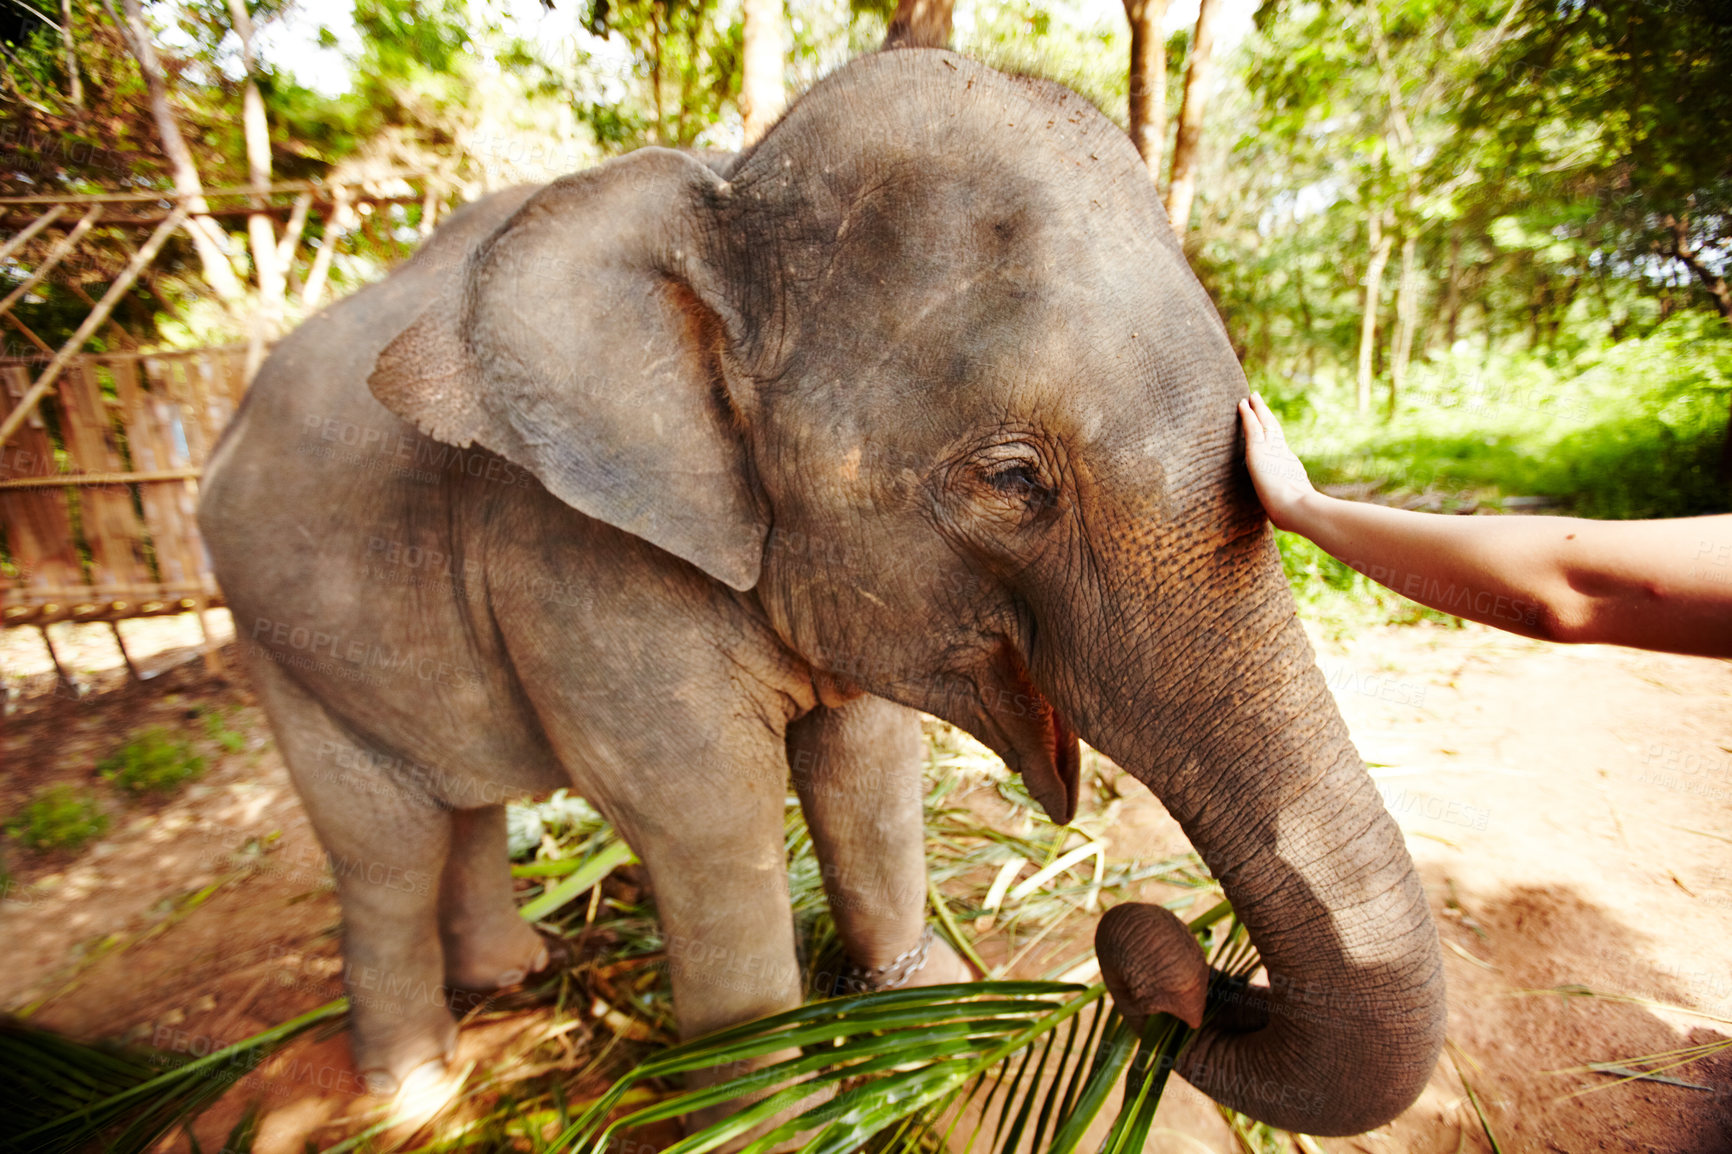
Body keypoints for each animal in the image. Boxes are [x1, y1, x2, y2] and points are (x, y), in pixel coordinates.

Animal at [196, 47, 1447, 1129]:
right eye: (1011, 479)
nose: (1145, 946)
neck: (730, 185)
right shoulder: (569, 556)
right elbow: (707, 823)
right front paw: (762, 1120)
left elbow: (869, 767)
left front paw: (914, 1014)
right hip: (272, 639)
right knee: (384, 845)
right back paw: (414, 1084)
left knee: (460, 799)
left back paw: (513, 971)